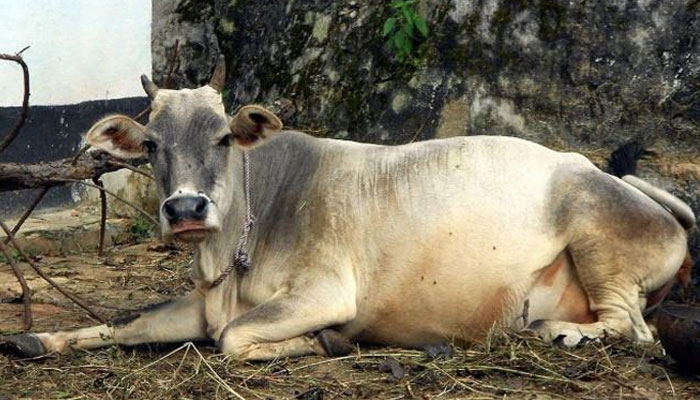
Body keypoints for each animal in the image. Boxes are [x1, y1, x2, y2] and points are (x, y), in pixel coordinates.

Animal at [2, 57, 695, 360]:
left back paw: (562, 332)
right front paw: (41, 337)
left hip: (597, 235)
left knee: (634, 330)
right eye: (150, 144)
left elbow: (233, 339)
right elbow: (131, 325)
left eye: (223, 137)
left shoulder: (324, 291)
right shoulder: (201, 302)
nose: (187, 208)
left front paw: (322, 343)